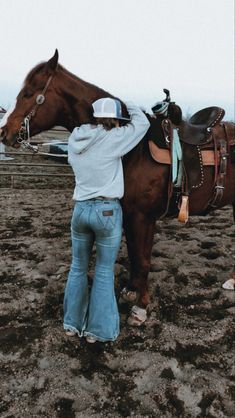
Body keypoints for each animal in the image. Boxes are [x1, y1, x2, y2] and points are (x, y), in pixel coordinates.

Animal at [0, 50, 234, 324]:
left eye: (28, 92)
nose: (4, 131)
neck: (134, 148)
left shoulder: (143, 217)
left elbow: (142, 260)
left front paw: (141, 308)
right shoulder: (130, 215)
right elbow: (134, 255)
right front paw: (131, 292)